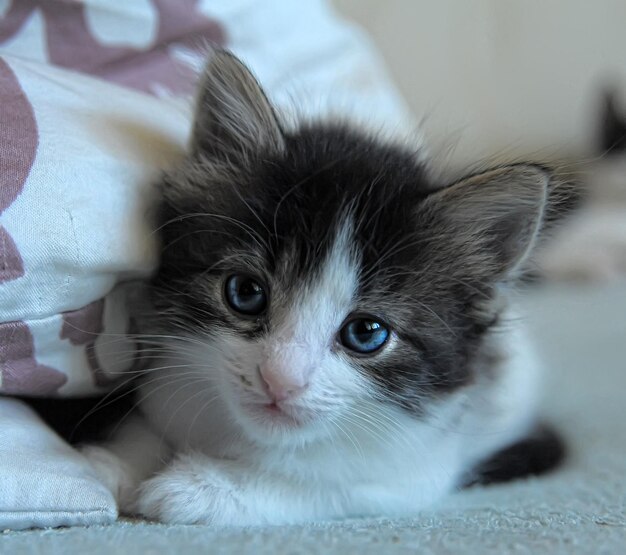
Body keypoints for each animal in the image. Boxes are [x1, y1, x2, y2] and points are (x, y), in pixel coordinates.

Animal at [80, 50, 564, 528]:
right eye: (246, 293)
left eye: (366, 333)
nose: (279, 380)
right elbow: (145, 427)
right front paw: (109, 466)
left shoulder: (410, 474)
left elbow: (314, 487)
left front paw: (197, 488)